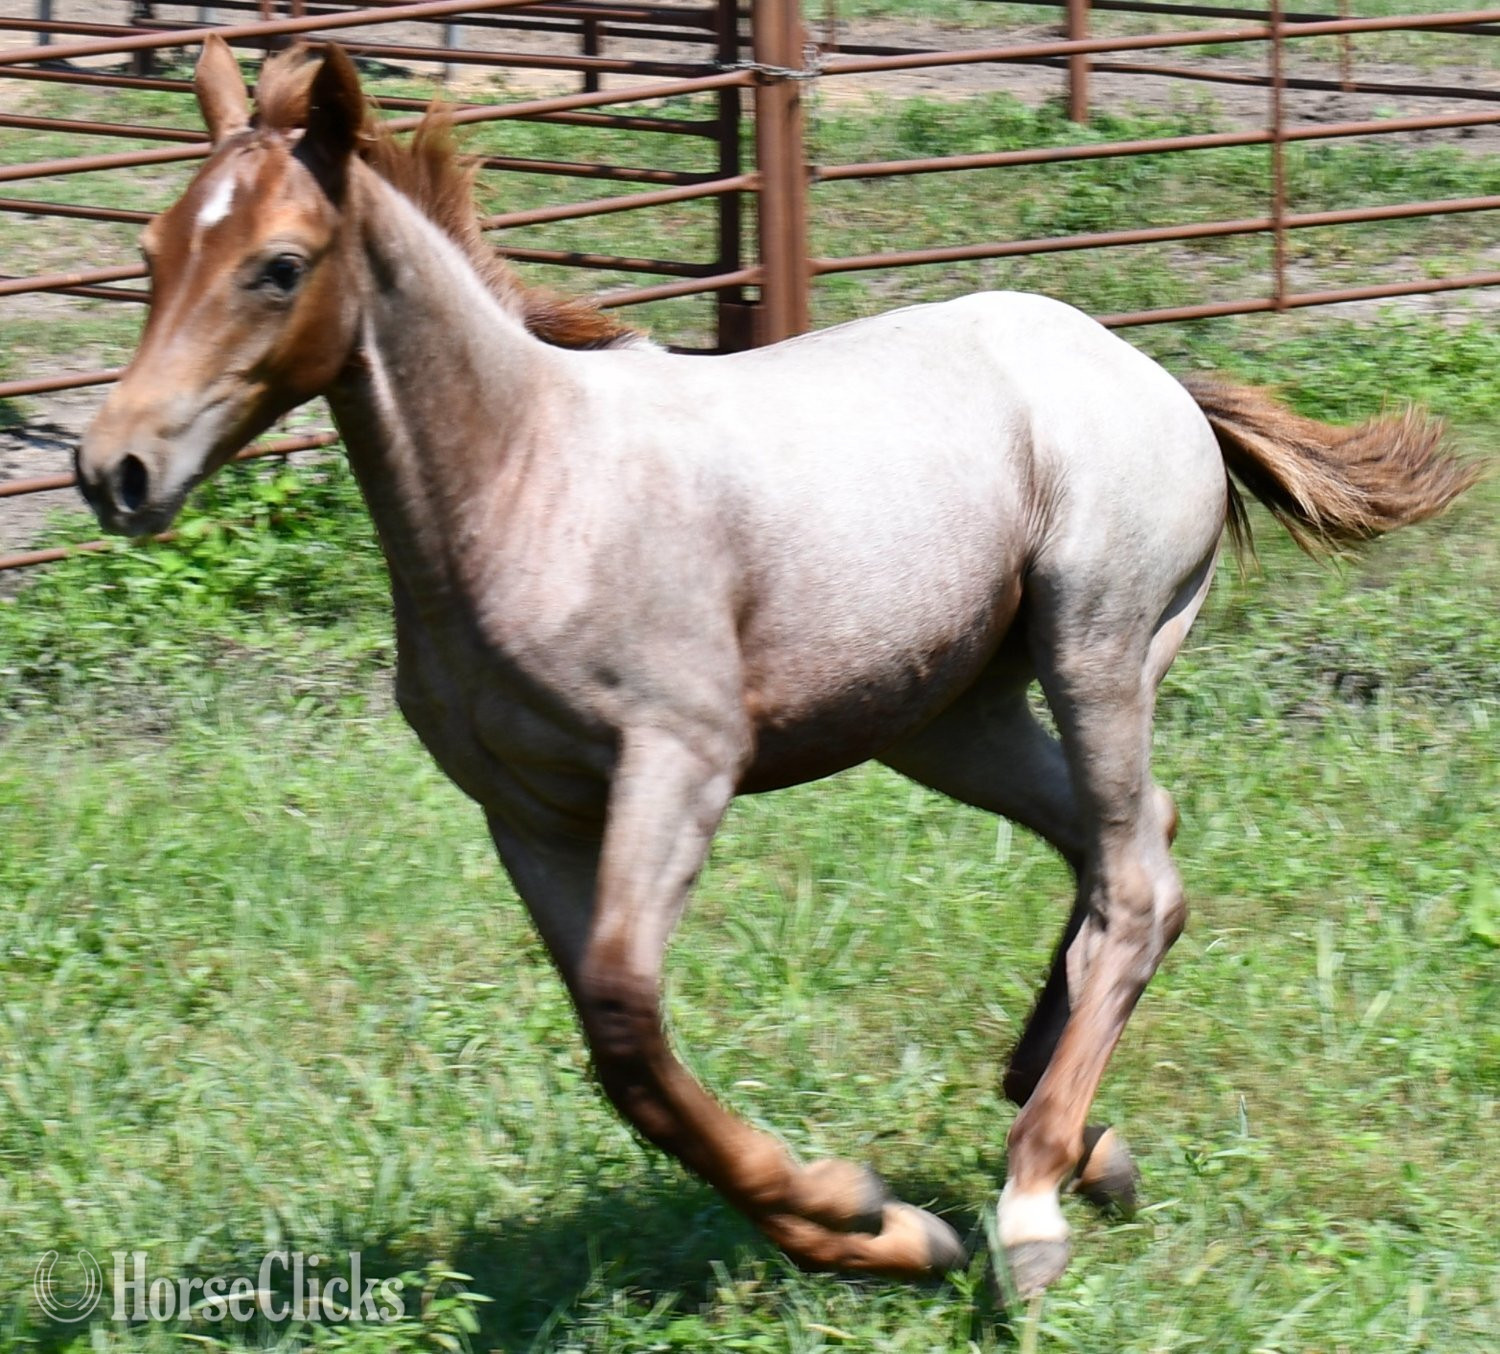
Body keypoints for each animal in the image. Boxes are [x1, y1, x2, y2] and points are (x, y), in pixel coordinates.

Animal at [75, 38, 1477, 1297]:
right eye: (149, 255)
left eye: (278, 266)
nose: (114, 469)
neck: (530, 483)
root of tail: (1152, 374)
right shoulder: (526, 813)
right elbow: (622, 1055)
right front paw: (878, 1226)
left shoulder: (680, 762)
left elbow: (627, 1020)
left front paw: (869, 1215)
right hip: (948, 718)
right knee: (1123, 850)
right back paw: (1079, 1136)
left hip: (1097, 646)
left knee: (1137, 880)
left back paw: (1031, 1198)